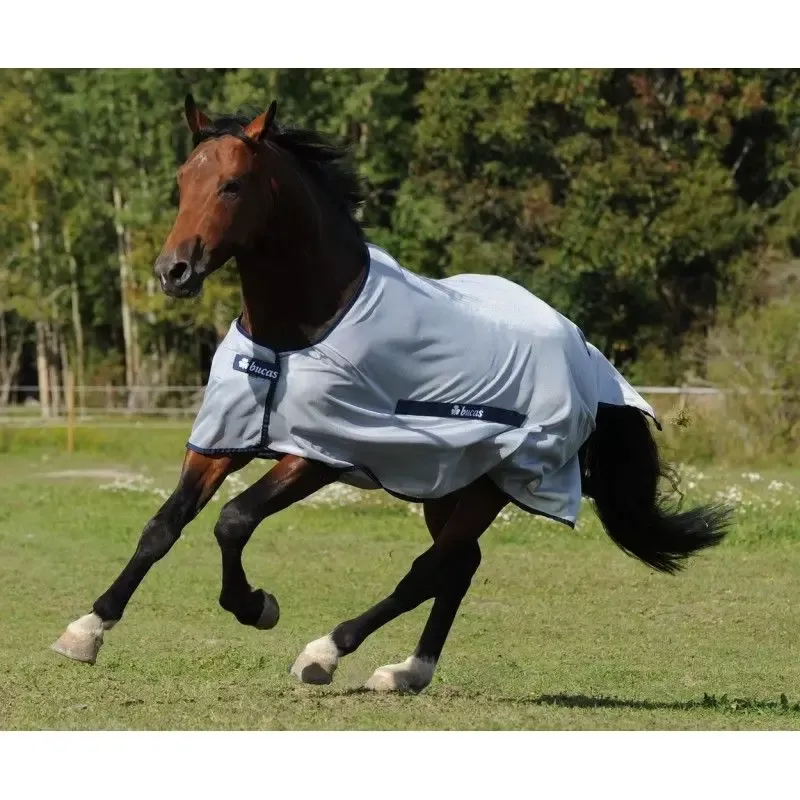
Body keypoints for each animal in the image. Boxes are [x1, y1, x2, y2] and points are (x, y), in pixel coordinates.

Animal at [51, 96, 732, 694]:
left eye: (233, 185)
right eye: (182, 180)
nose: (174, 272)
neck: (298, 330)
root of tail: (583, 350)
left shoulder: (319, 454)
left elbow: (233, 521)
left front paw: (256, 606)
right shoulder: (225, 438)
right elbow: (162, 527)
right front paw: (86, 630)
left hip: (492, 484)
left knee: (430, 569)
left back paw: (326, 653)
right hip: (448, 483)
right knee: (458, 566)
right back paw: (407, 672)